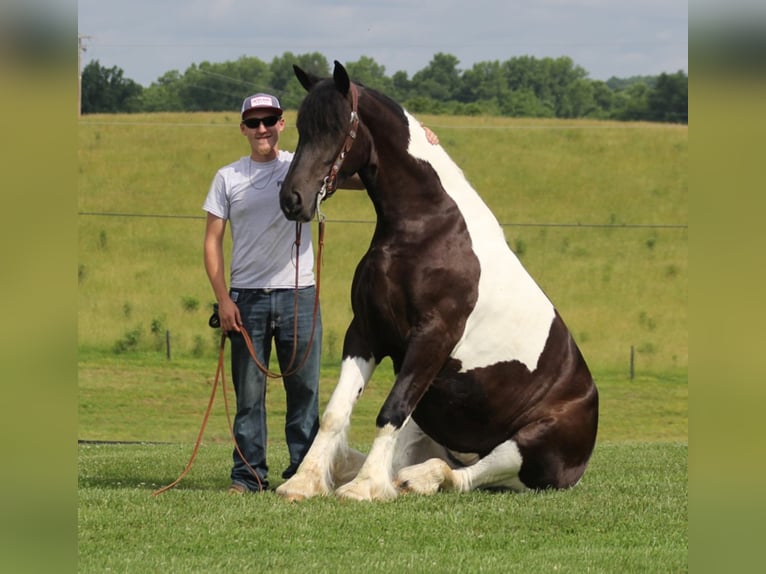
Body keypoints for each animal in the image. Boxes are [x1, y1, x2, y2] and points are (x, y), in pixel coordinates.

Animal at [278, 62, 600, 504]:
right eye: (301, 128)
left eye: (337, 127)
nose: (292, 199)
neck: (427, 230)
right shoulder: (365, 332)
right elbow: (334, 413)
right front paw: (303, 482)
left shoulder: (432, 337)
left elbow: (390, 411)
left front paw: (363, 489)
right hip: (430, 420)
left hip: (529, 446)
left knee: (464, 475)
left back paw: (416, 480)